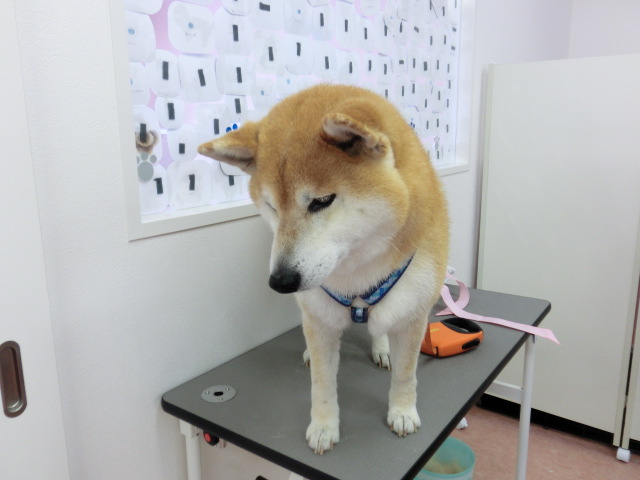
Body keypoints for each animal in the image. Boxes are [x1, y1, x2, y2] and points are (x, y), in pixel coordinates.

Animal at [198, 84, 449, 454]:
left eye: (321, 201)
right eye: (271, 206)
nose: (280, 282)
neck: (356, 275)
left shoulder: (412, 315)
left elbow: (406, 374)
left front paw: (402, 412)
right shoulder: (319, 319)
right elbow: (322, 383)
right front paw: (323, 427)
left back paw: (381, 347)